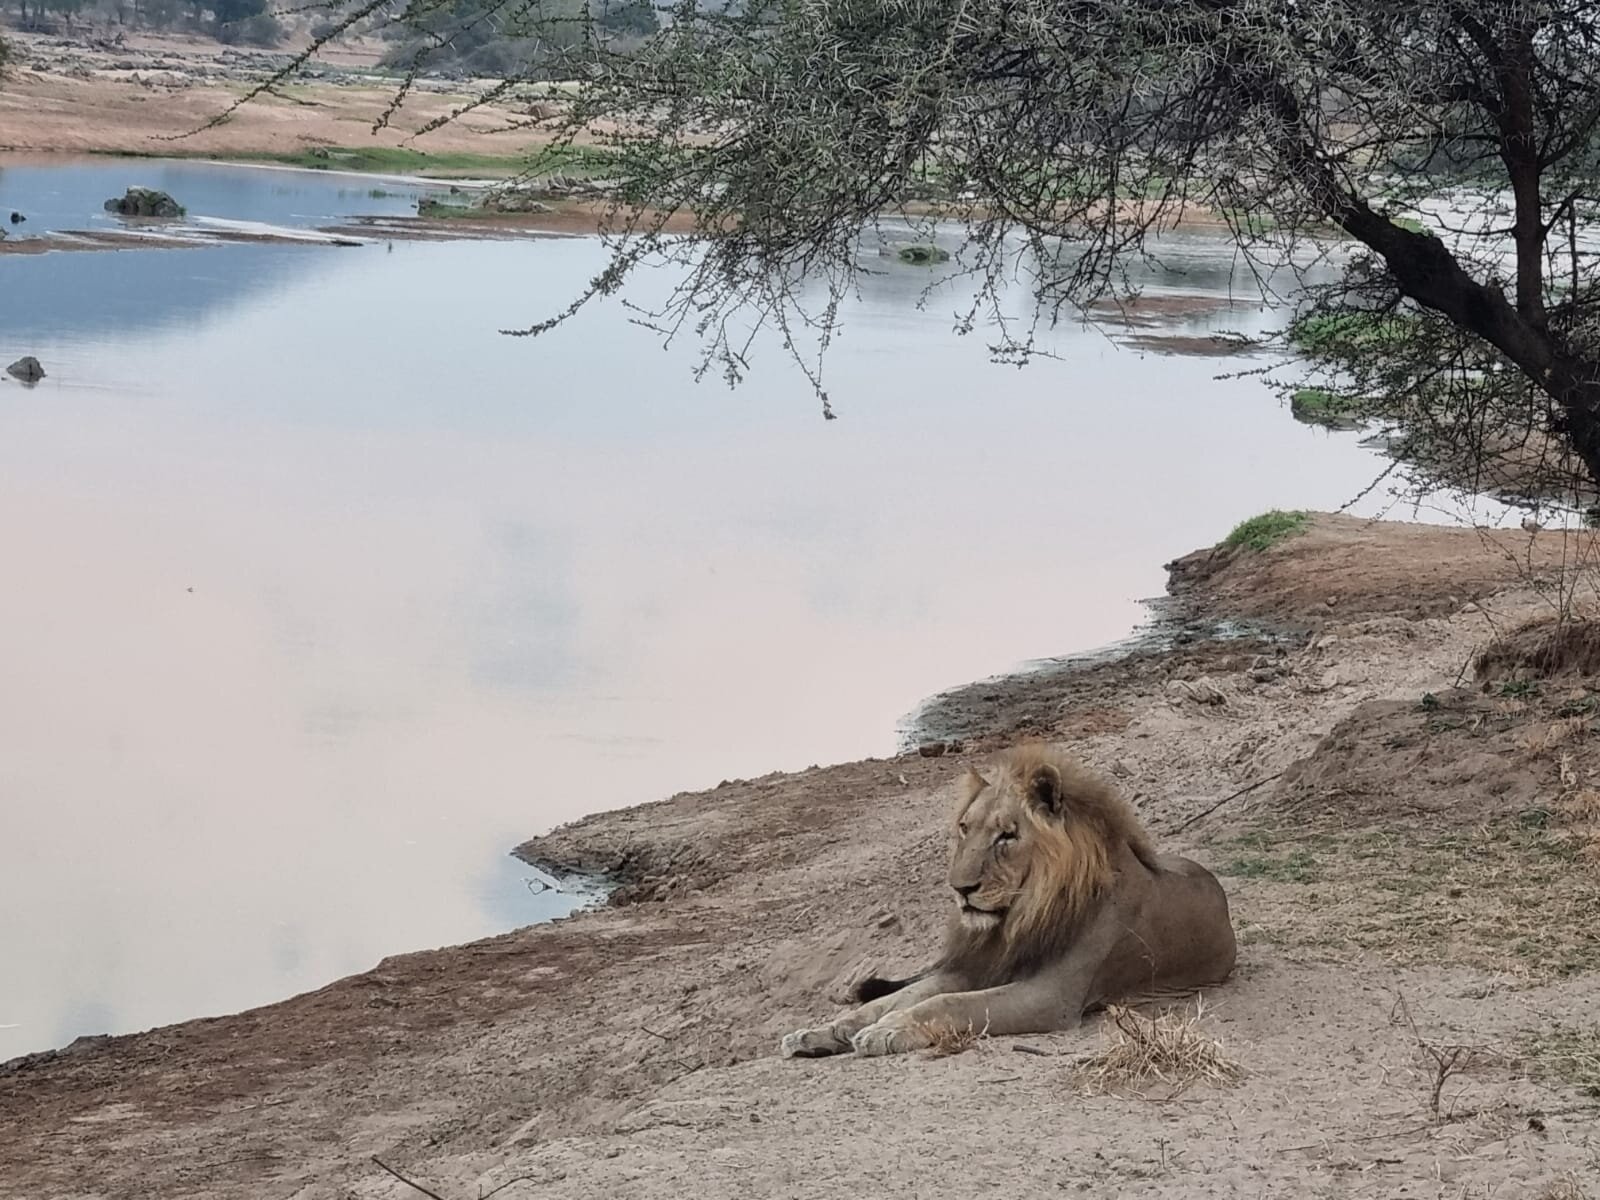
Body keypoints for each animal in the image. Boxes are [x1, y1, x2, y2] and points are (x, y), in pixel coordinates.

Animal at [780, 745, 1238, 1058]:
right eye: (965, 828)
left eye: (1007, 835)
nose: (960, 889)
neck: (1017, 918)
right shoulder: (974, 967)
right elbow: (897, 998)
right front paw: (823, 1032)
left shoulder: (1050, 996)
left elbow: (951, 1004)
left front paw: (888, 1030)